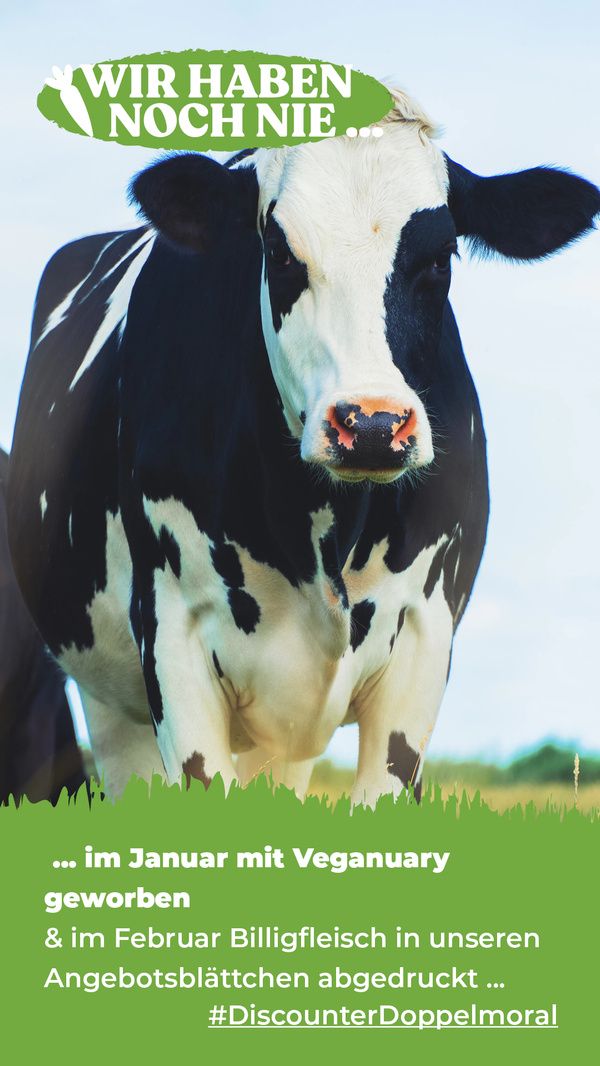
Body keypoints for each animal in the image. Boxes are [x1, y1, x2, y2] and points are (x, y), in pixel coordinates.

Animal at [7, 89, 599, 806]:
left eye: (442, 257)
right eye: (281, 252)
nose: (371, 424)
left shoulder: (425, 638)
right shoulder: (171, 633)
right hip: (107, 706)